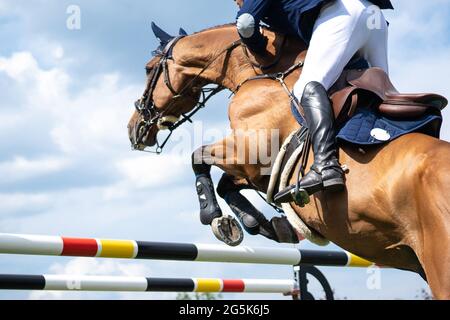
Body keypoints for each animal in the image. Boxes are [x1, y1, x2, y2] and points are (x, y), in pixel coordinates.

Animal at [127, 23, 450, 300]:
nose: (134, 128)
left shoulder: (248, 152)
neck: (260, 75)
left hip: (438, 268)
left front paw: (215, 218)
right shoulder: (259, 171)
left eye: (147, 69)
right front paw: (260, 225)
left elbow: (198, 158)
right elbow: (227, 185)